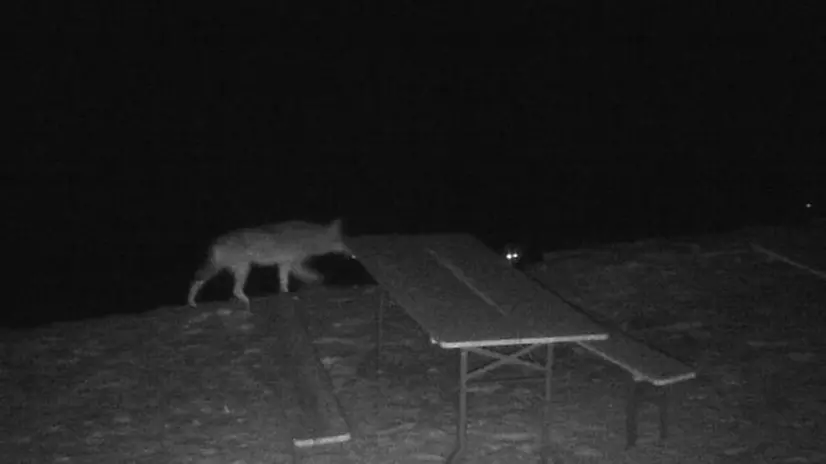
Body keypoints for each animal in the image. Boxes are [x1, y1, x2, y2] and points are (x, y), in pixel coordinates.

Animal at [187, 219, 354, 310]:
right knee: (230, 289)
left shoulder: (284, 264)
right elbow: (317, 276)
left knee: (226, 288)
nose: (352, 252)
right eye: (343, 242)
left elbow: (283, 282)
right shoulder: (294, 264)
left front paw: (285, 293)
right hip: (240, 268)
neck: (310, 237)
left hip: (235, 269)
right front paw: (316, 282)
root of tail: (215, 242)